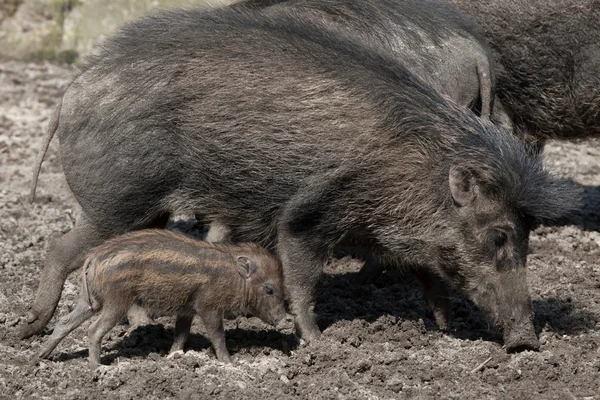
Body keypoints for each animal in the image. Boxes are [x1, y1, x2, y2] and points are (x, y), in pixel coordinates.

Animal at [37, 228, 286, 368]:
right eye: (269, 289)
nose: (284, 320)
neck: (233, 275)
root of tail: (94, 257)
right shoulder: (208, 307)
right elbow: (218, 336)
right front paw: (229, 363)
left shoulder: (187, 309)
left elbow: (181, 334)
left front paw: (172, 356)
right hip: (117, 301)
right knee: (94, 330)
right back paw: (97, 368)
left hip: (91, 300)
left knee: (64, 322)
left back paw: (40, 356)